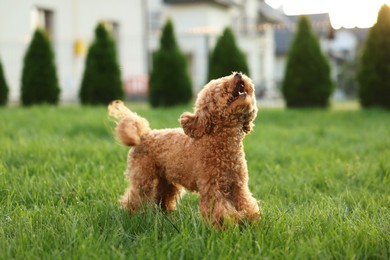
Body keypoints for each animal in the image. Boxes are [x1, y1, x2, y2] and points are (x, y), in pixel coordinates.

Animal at [108, 72, 260, 225]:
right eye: (221, 87)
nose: (238, 74)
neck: (219, 142)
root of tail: (142, 135)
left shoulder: (238, 185)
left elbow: (246, 203)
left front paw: (250, 221)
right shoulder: (212, 187)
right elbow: (220, 210)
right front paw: (228, 224)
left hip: (165, 180)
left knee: (162, 197)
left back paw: (163, 215)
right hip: (143, 176)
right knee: (135, 197)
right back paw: (131, 216)